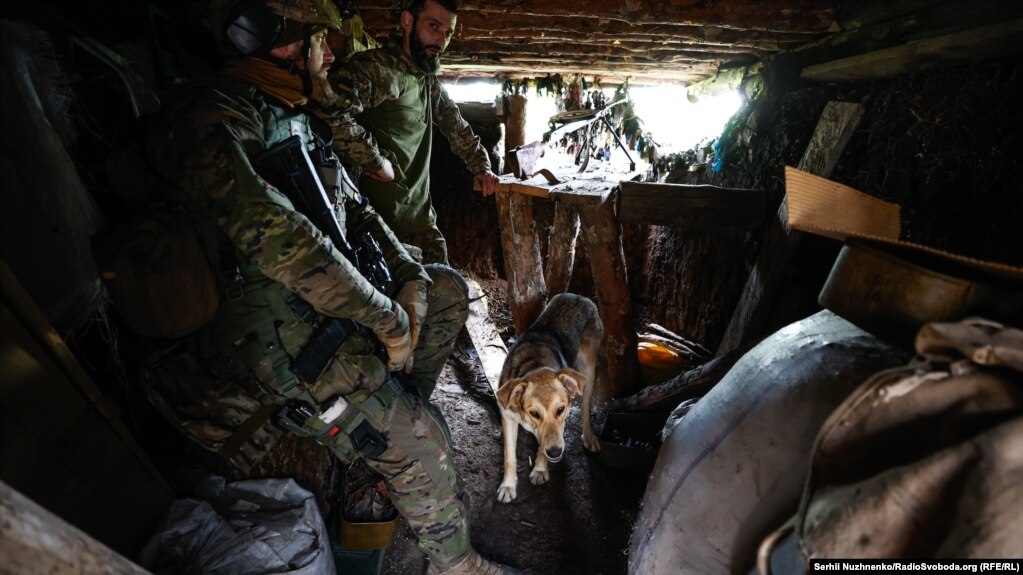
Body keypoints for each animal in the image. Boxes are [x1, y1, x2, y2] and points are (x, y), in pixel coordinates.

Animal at [493, 292, 597, 499]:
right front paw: (508, 486)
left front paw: (540, 469)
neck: (534, 365)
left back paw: (589, 436)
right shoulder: (508, 418)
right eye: (534, 413)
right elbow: (510, 456)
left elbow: (542, 447)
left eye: (560, 409)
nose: (556, 453)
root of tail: (578, 296)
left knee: (585, 405)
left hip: (589, 369)